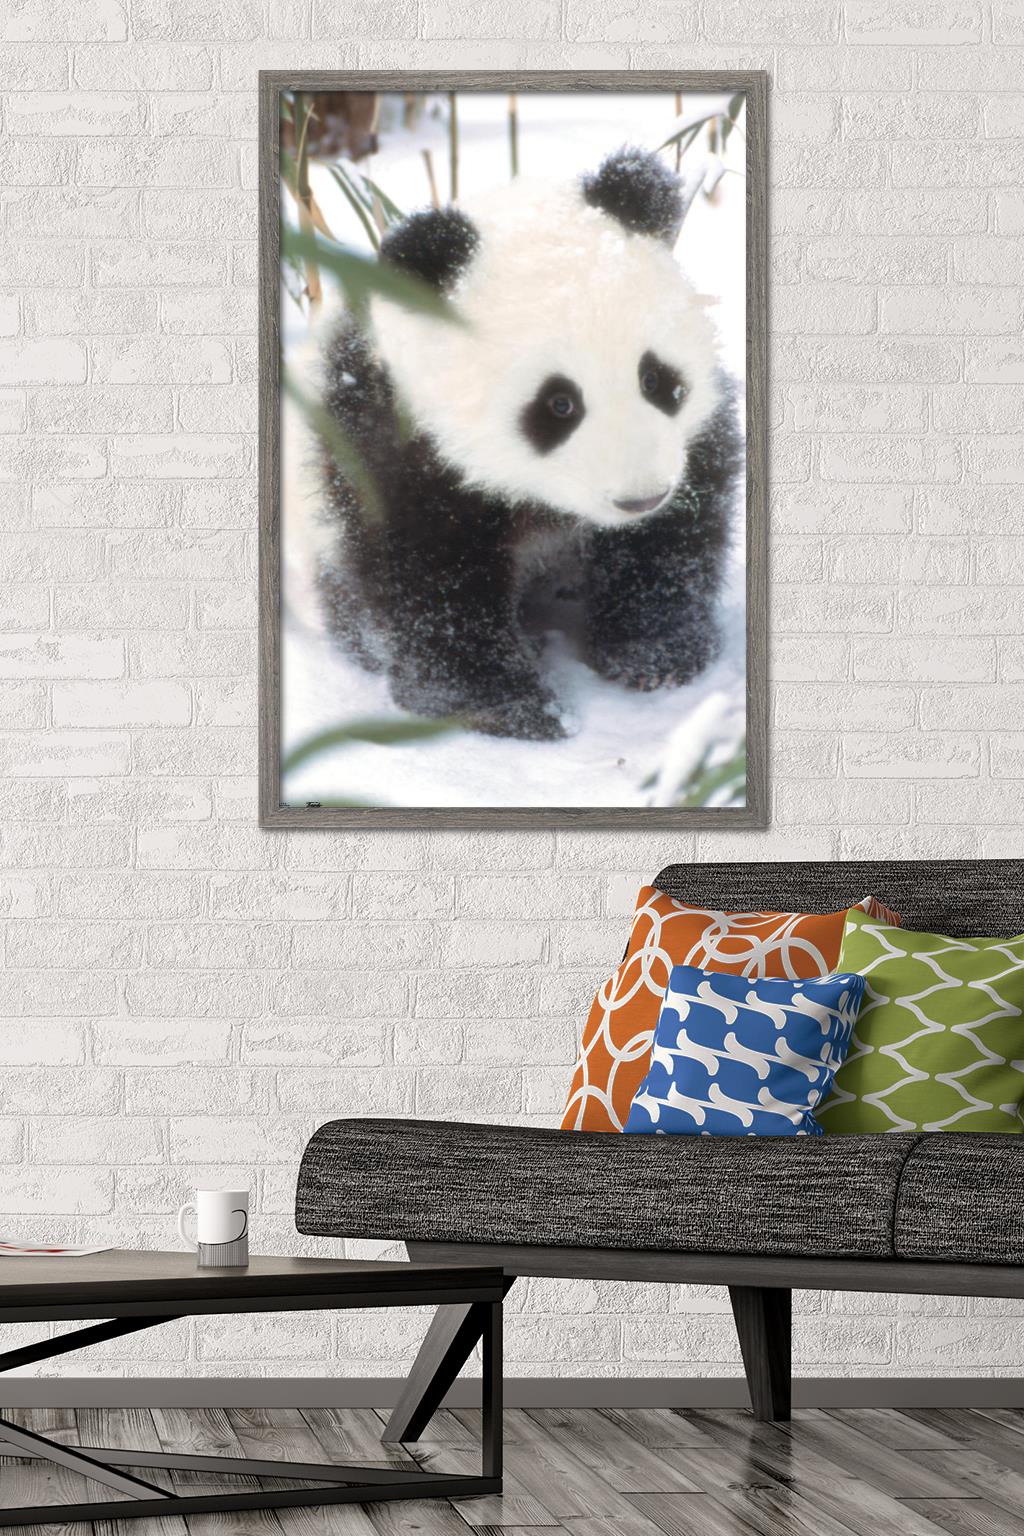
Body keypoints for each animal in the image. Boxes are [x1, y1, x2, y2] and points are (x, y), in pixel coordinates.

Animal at [310, 145, 742, 742]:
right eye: (559, 404)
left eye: (655, 379)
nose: (640, 499)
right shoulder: (391, 445)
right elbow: (428, 583)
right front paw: (506, 707)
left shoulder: (690, 444)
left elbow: (674, 540)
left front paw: (655, 655)